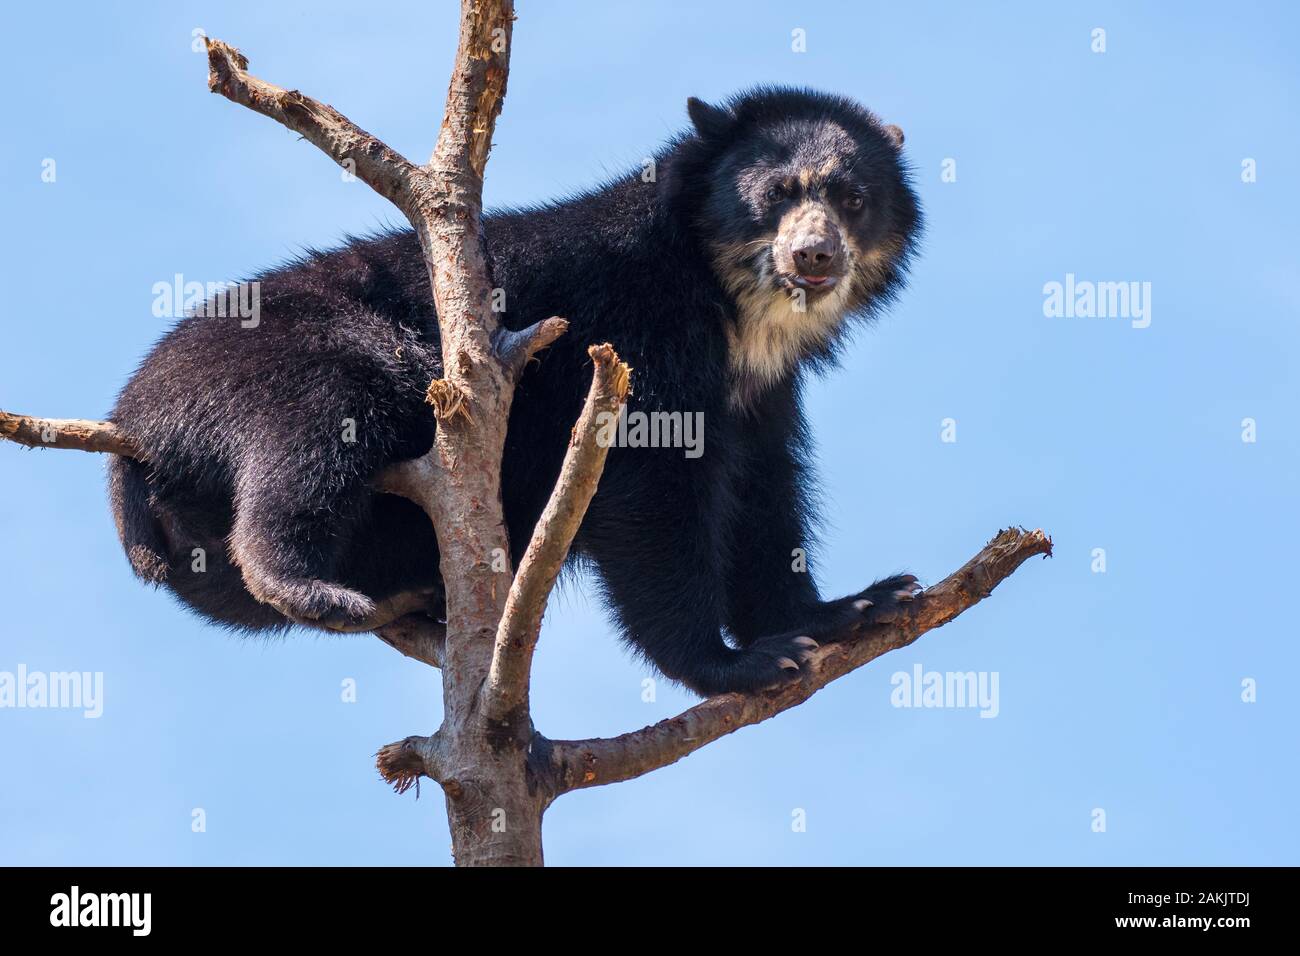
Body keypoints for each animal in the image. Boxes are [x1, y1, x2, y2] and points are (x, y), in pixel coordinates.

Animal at [108, 86, 923, 697]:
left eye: (853, 199)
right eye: (776, 194)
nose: (814, 255)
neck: (734, 312)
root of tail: (130, 424)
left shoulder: (761, 395)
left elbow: (763, 495)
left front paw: (850, 608)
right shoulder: (633, 338)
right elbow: (650, 495)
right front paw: (736, 664)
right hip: (269, 365)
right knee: (319, 425)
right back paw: (308, 586)